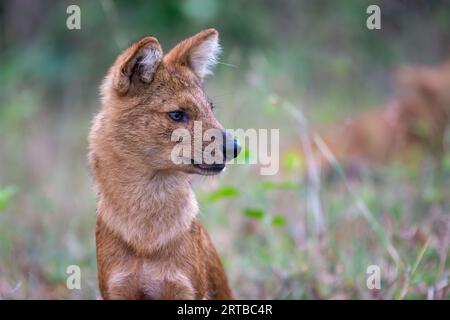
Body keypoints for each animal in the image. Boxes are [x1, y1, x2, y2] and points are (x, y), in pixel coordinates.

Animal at [89, 28, 241, 298]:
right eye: (177, 114)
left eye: (210, 109)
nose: (236, 147)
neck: (146, 239)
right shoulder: (116, 289)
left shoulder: (186, 289)